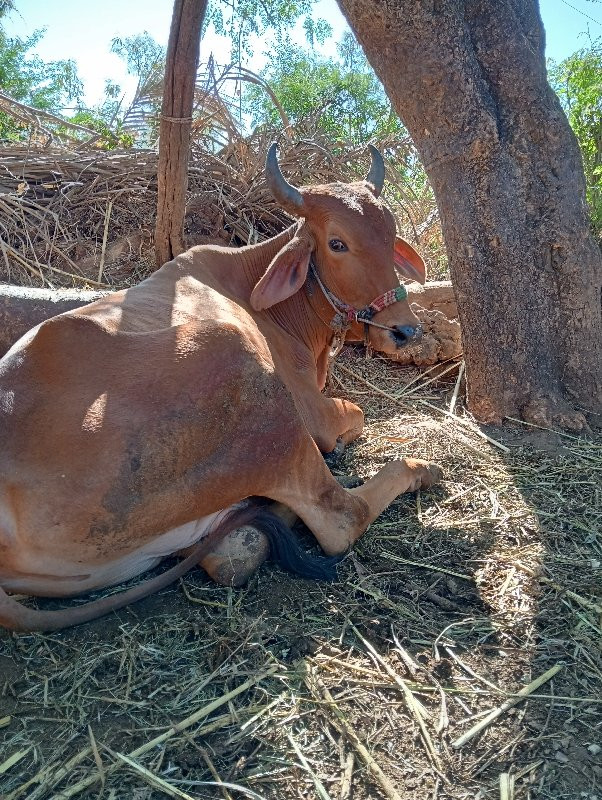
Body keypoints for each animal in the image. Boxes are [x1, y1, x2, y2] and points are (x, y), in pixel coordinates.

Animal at [0, 144, 440, 632]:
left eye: (390, 234)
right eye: (337, 243)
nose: (404, 330)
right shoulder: (313, 411)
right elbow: (355, 418)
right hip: (250, 381)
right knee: (339, 519)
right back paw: (418, 469)